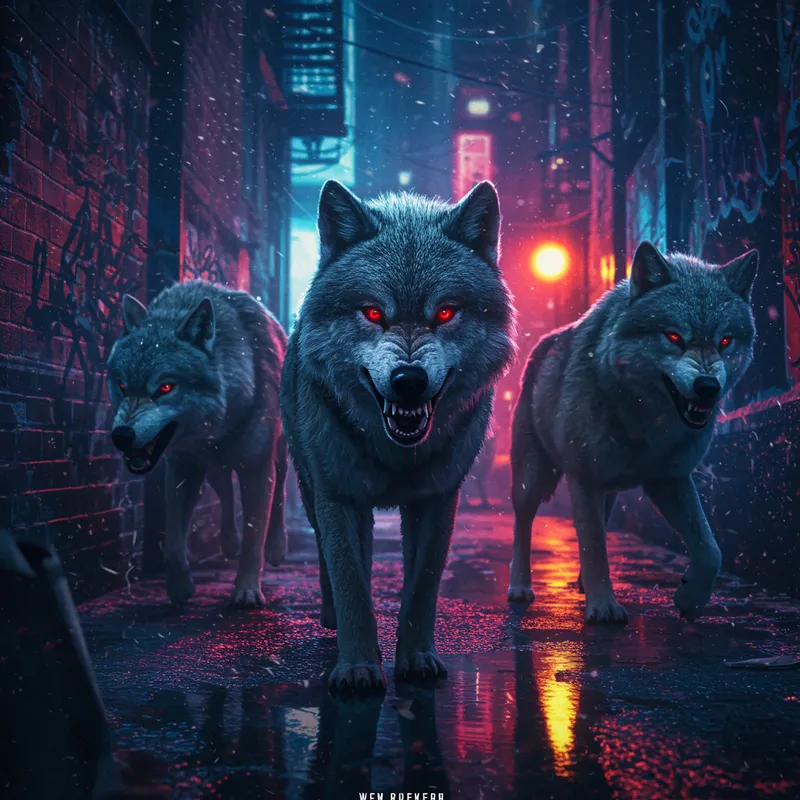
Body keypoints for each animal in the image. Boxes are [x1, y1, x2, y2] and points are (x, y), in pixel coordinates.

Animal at [106, 280, 288, 607]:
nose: (121, 436)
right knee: (226, 492)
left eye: (165, 387)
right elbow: (172, 544)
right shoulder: (182, 467)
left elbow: (254, 536)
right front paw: (180, 588)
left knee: (279, 490)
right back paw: (228, 543)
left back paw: (277, 548)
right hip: (213, 470)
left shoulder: (257, 467)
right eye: (122, 385)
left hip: (277, 455)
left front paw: (246, 592)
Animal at [281, 180, 516, 690]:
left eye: (445, 312)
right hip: (310, 489)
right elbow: (350, 579)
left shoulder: (439, 497)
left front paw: (416, 660)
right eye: (373, 313)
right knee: (335, 561)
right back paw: (332, 618)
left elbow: (422, 586)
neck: (394, 453)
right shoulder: (337, 495)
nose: (408, 379)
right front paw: (356, 668)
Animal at [508, 241, 758, 624]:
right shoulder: (584, 478)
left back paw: (582, 583)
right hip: (534, 480)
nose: (707, 387)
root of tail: (542, 345)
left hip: (607, 492)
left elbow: (711, 551)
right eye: (674, 337)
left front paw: (691, 600)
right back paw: (520, 587)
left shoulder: (670, 479)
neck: (646, 423)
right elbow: (594, 545)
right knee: (523, 526)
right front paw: (604, 607)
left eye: (725, 341)